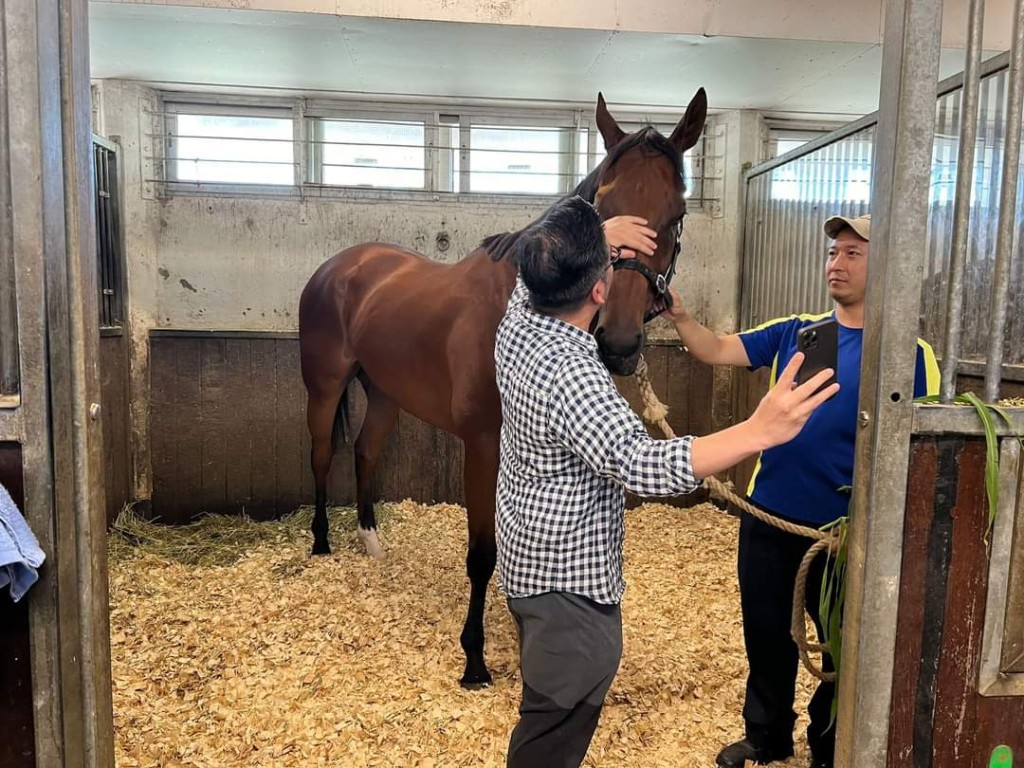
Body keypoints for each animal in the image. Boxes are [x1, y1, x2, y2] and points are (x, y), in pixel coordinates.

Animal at [299, 87, 708, 688]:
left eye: (676, 215)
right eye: (602, 207)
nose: (618, 340)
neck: (526, 304)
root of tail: (341, 265)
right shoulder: (483, 446)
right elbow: (482, 554)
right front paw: (474, 659)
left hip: (386, 394)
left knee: (365, 451)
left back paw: (372, 542)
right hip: (325, 387)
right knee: (323, 453)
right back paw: (322, 542)